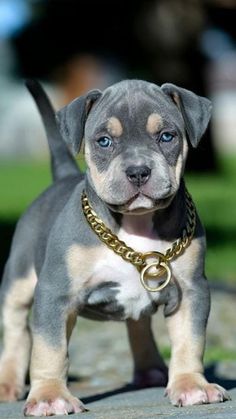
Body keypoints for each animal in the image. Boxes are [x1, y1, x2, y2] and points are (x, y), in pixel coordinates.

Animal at [0, 80, 230, 416]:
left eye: (167, 136)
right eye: (104, 141)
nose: (138, 171)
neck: (135, 224)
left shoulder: (191, 290)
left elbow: (190, 340)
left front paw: (191, 385)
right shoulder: (55, 293)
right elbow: (50, 348)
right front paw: (49, 396)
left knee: (139, 325)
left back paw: (150, 371)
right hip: (18, 280)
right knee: (16, 329)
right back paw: (8, 384)